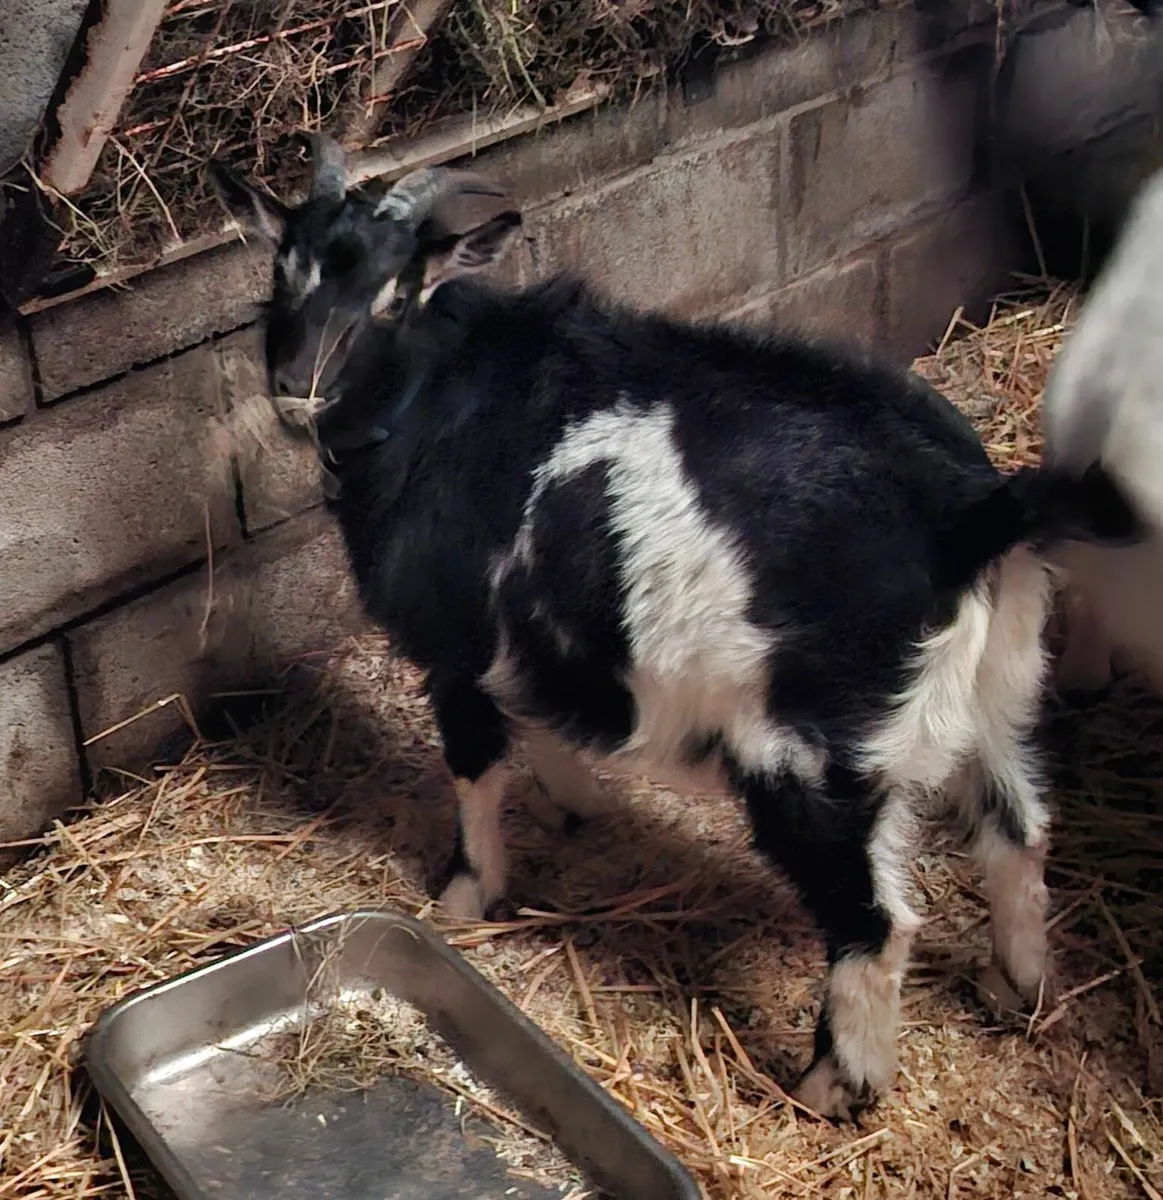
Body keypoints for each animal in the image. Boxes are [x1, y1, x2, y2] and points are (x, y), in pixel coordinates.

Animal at [209, 134, 1142, 1121]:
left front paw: (466, 896)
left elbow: (475, 767)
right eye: (283, 271)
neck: (437, 391)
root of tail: (968, 513)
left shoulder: (453, 642)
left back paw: (825, 1086)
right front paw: (575, 803)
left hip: (818, 758)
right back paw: (1016, 986)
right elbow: (544, 710)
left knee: (873, 921)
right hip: (996, 694)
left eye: (395, 293)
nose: (294, 391)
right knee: (1017, 829)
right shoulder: (537, 630)